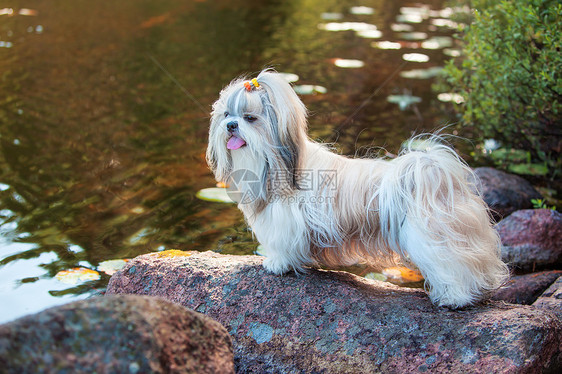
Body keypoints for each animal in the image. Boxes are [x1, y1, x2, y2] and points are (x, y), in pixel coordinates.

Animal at [206, 69, 508, 306]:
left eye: (250, 118)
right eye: (226, 114)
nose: (231, 125)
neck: (275, 164)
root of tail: (433, 173)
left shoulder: (285, 223)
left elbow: (283, 247)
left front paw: (277, 263)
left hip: (432, 239)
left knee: (456, 266)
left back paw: (455, 298)